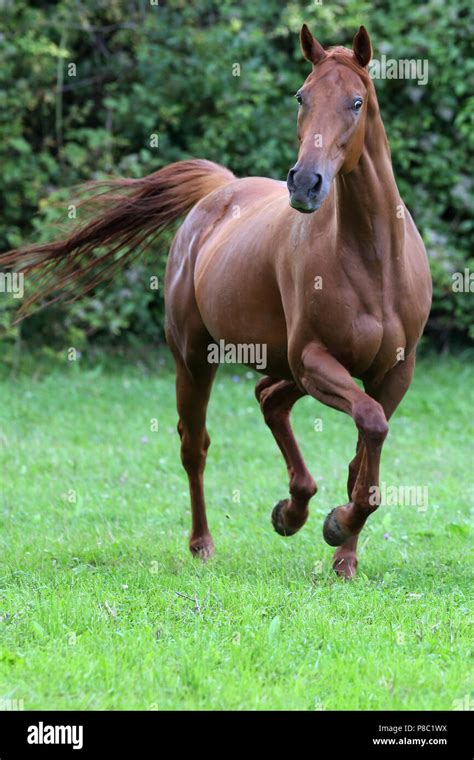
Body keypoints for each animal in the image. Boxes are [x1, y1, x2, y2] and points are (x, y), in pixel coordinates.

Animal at [0, 26, 432, 580]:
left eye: (357, 102)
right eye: (301, 97)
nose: (305, 184)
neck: (374, 259)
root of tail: (220, 190)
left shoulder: (394, 373)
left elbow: (366, 453)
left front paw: (343, 553)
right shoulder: (314, 359)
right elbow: (370, 428)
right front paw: (336, 525)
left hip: (281, 366)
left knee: (270, 401)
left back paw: (292, 511)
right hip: (197, 359)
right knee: (195, 445)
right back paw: (205, 543)